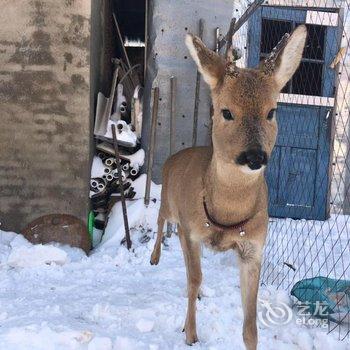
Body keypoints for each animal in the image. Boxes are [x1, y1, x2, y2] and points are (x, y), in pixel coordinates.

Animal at [150, 25, 306, 350]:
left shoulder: (253, 247)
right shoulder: (192, 231)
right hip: (170, 205)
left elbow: (250, 321)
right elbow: (194, 278)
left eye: (272, 111)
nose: (255, 157)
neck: (226, 214)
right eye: (226, 112)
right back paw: (154, 257)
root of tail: (175, 156)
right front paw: (191, 334)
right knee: (160, 221)